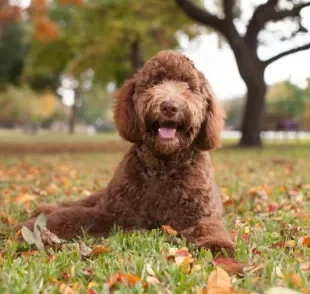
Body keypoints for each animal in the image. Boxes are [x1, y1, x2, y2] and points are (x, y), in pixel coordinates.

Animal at [16, 50, 235, 255]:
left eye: (188, 86)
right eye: (155, 83)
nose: (169, 106)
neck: (163, 169)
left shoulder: (200, 214)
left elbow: (210, 227)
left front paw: (217, 244)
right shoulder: (113, 213)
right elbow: (68, 217)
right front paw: (27, 228)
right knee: (78, 203)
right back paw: (45, 209)